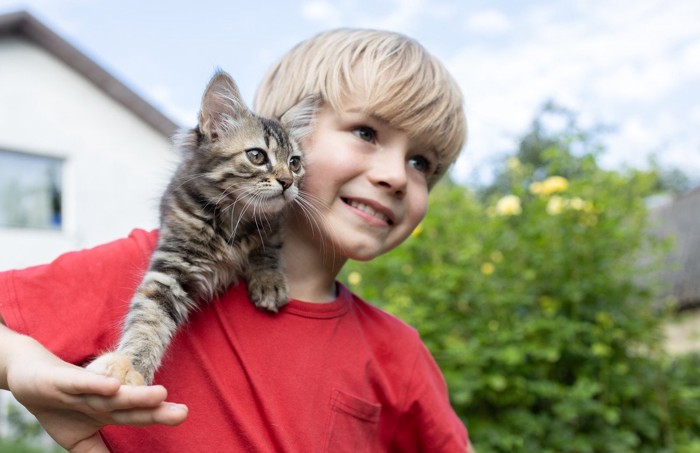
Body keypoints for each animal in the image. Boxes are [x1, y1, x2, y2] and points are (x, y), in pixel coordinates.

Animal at [85, 69, 318, 384]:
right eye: (257, 156)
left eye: (295, 163)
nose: (287, 182)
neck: (233, 218)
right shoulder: (173, 266)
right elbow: (149, 316)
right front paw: (130, 366)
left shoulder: (274, 221)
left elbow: (267, 245)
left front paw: (269, 280)